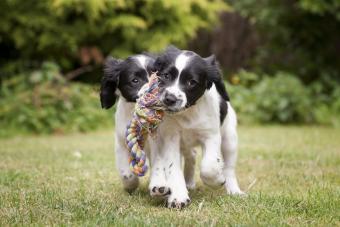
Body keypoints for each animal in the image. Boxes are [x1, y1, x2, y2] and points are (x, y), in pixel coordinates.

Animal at [149, 46, 244, 209]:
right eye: (166, 75)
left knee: (229, 168)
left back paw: (234, 190)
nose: (169, 99)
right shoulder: (170, 137)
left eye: (191, 82)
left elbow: (209, 166)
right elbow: (173, 167)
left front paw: (217, 180)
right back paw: (186, 183)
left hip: (229, 139)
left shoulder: (211, 136)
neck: (188, 113)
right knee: (191, 156)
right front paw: (178, 197)